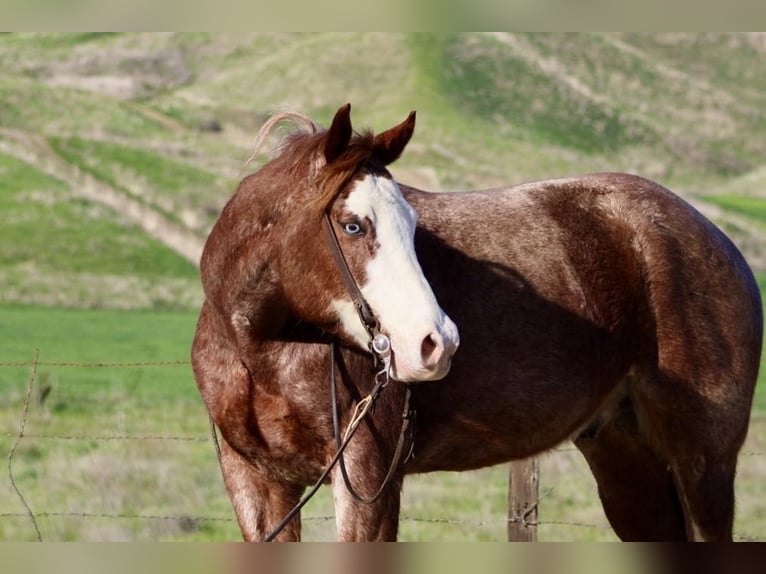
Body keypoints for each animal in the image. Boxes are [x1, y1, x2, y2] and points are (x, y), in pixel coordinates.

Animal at [191, 103, 763, 542]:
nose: (436, 343)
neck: (262, 349)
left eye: (413, 225)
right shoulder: (256, 483)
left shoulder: (369, 478)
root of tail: (719, 241)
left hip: (703, 464)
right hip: (627, 460)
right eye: (353, 226)